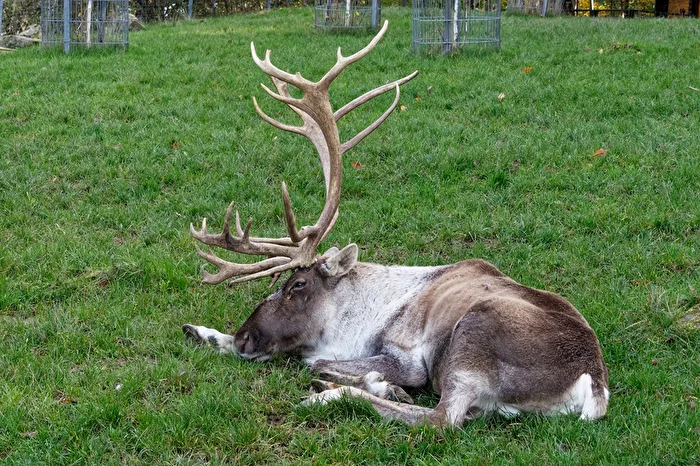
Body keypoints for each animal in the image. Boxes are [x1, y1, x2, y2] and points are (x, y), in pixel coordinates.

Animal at [183, 21, 610, 427]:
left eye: (297, 285)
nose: (244, 337)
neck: (366, 314)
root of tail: (594, 385)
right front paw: (202, 332)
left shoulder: (408, 357)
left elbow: (318, 361)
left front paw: (377, 384)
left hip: (473, 339)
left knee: (441, 419)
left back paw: (330, 396)